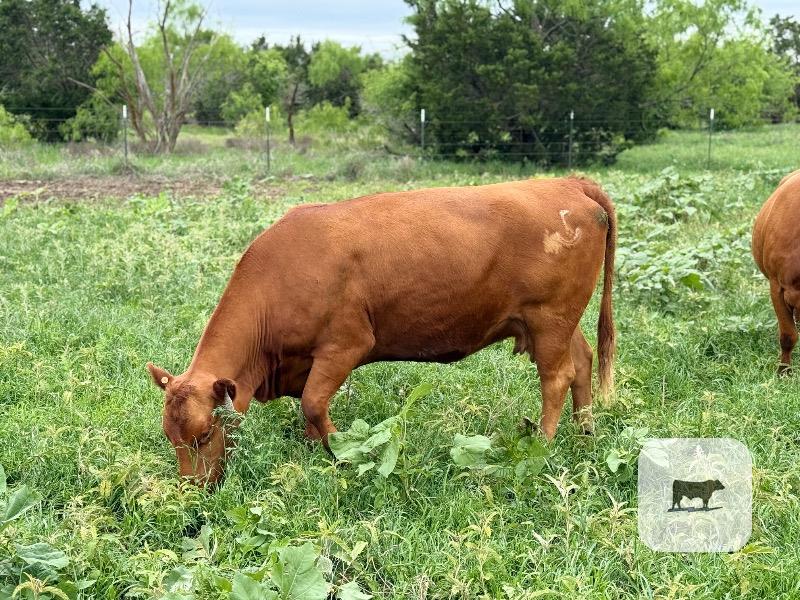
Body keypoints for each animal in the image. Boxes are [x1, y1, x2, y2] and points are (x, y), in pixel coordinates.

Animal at [147, 176, 616, 486]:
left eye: (205, 434)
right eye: (169, 436)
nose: (193, 489)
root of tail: (566, 182)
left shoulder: (345, 344)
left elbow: (314, 405)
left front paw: (342, 454)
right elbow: (306, 409)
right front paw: (310, 451)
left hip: (550, 317)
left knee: (557, 377)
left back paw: (544, 445)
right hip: (554, 322)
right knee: (582, 360)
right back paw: (585, 433)